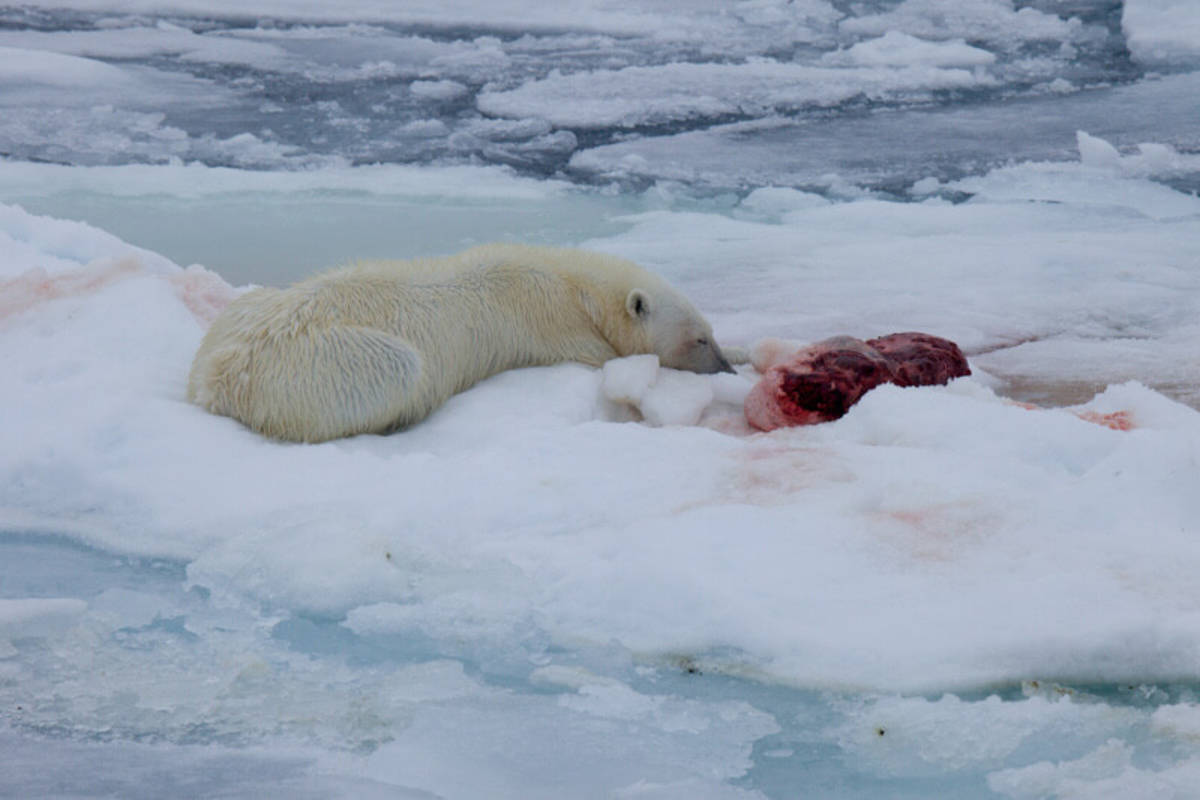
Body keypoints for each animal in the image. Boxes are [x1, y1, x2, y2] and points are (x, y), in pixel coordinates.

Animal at [187, 243, 735, 442]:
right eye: (700, 339)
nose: (726, 368)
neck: (572, 286)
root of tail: (219, 382)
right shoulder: (556, 327)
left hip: (241, 316)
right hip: (323, 363)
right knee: (400, 368)